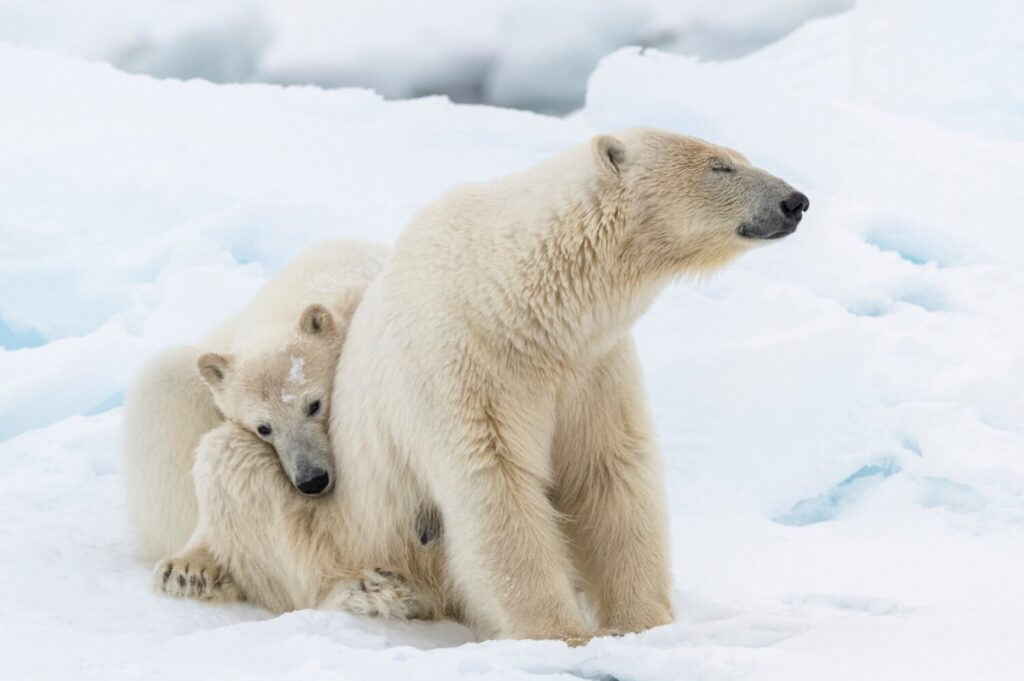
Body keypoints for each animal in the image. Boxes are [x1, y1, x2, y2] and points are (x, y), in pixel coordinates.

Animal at [329, 125, 806, 639]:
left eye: (741, 156)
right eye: (721, 166)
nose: (795, 201)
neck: (511, 302)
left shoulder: (593, 367)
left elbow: (609, 472)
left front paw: (644, 622)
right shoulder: (466, 365)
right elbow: (497, 485)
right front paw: (562, 635)